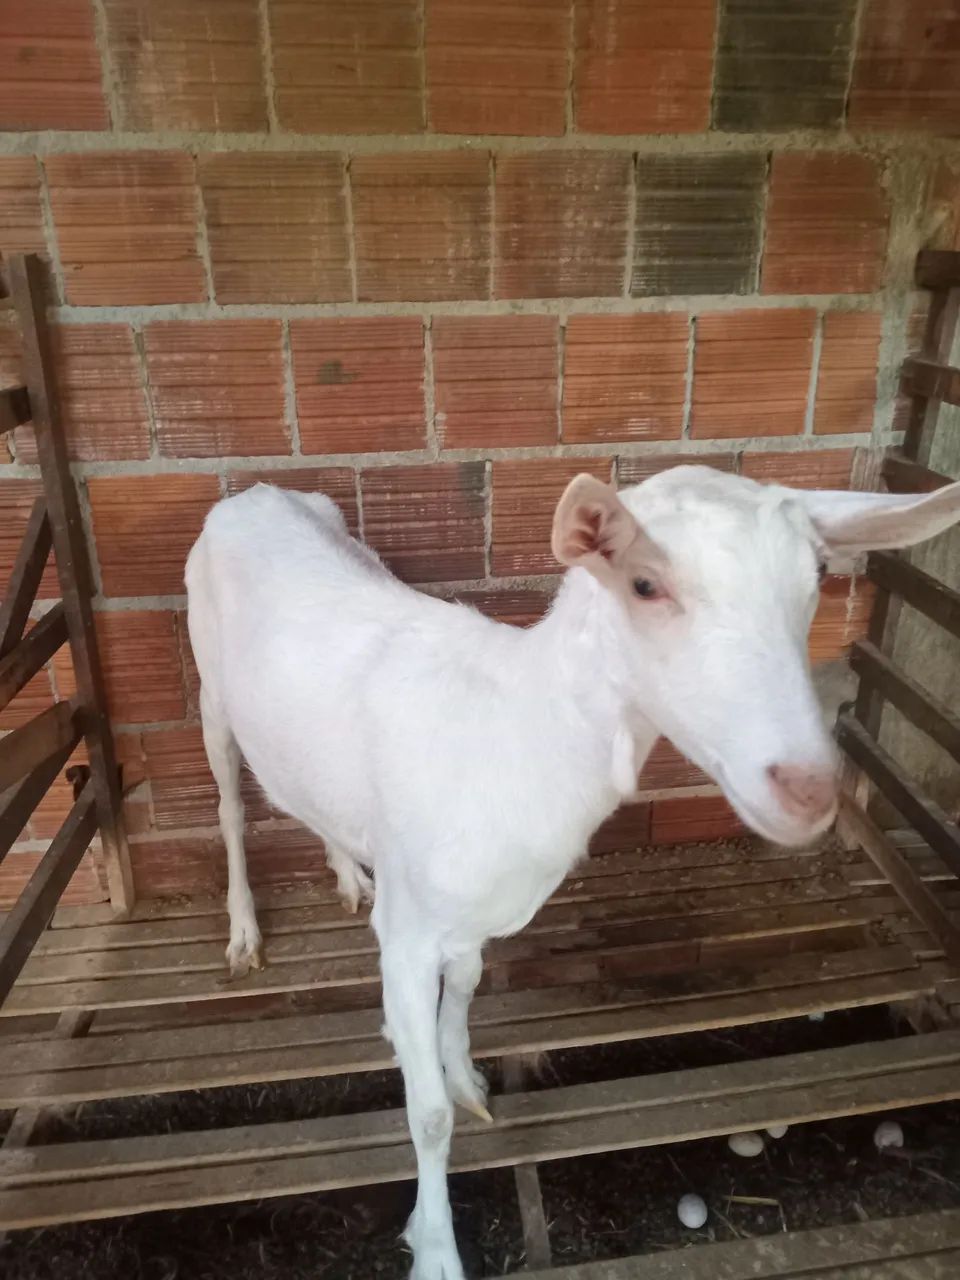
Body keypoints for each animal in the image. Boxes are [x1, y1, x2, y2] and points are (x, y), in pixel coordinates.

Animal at [185, 465, 960, 1280]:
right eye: (644, 583)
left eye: (815, 576)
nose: (808, 789)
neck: (518, 729)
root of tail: (255, 494)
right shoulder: (408, 932)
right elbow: (426, 1115)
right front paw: (435, 1247)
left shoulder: (471, 916)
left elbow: (465, 992)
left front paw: (465, 1077)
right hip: (210, 690)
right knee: (231, 807)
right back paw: (243, 935)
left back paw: (344, 875)